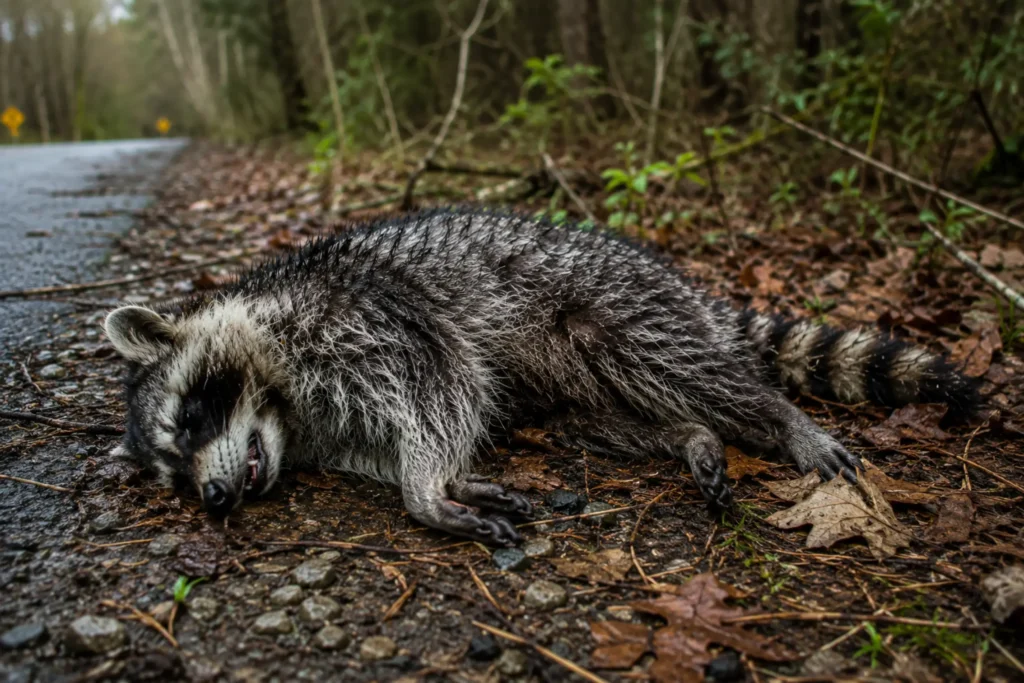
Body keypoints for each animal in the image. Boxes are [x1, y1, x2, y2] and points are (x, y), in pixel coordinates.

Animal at [105, 208, 977, 545]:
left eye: (191, 419)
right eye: (173, 473)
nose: (216, 497)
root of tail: (678, 280)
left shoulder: (368, 317)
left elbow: (442, 384)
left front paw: (426, 486)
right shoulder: (324, 424)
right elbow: (390, 439)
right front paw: (442, 477)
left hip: (616, 305)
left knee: (693, 367)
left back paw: (774, 418)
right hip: (573, 387)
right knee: (600, 418)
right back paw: (685, 434)